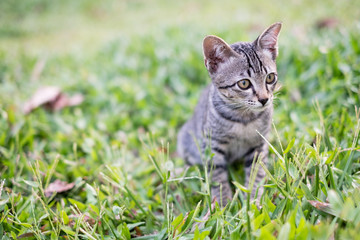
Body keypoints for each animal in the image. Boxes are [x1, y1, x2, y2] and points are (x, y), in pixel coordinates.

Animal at [177, 22, 282, 204]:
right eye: (244, 83)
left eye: (270, 78)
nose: (264, 99)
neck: (243, 118)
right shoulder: (212, 145)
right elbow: (217, 175)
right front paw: (223, 203)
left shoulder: (259, 145)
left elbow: (256, 172)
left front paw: (254, 199)